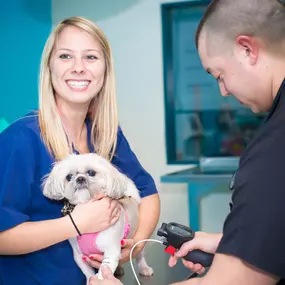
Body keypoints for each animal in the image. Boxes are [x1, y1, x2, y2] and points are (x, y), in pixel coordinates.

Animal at [41, 154, 152, 282]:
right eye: (69, 177)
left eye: (91, 172)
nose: (80, 179)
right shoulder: (79, 256)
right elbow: (88, 273)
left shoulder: (111, 251)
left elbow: (103, 272)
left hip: (136, 241)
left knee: (139, 254)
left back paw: (144, 268)